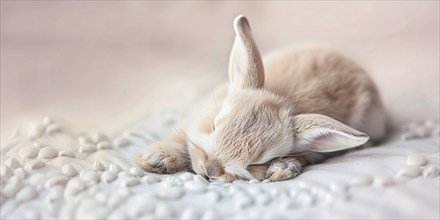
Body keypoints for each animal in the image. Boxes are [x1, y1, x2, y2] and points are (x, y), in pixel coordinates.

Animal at [136, 14, 386, 182]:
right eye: (213, 126)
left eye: (257, 163)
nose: (209, 171)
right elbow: (179, 137)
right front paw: (155, 159)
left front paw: (281, 169)